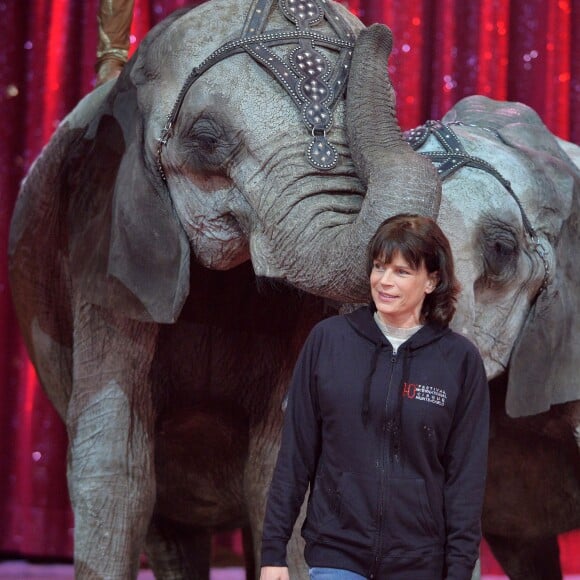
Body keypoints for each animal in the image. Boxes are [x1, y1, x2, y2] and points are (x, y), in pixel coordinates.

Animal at [9, 1, 580, 580]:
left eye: (502, 251)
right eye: (207, 139)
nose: (379, 34)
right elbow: (115, 465)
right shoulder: (108, 248)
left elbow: (282, 456)